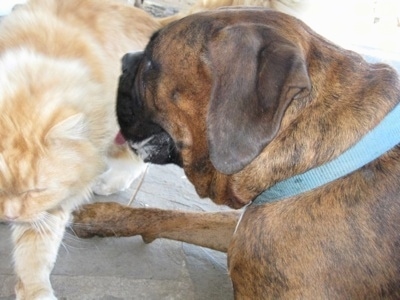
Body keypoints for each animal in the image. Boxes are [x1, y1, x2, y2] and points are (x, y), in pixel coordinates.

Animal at [0, 1, 165, 298]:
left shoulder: (53, 204)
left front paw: (35, 291)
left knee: (137, 163)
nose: (8, 217)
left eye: (37, 191)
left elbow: (35, 253)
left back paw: (109, 183)